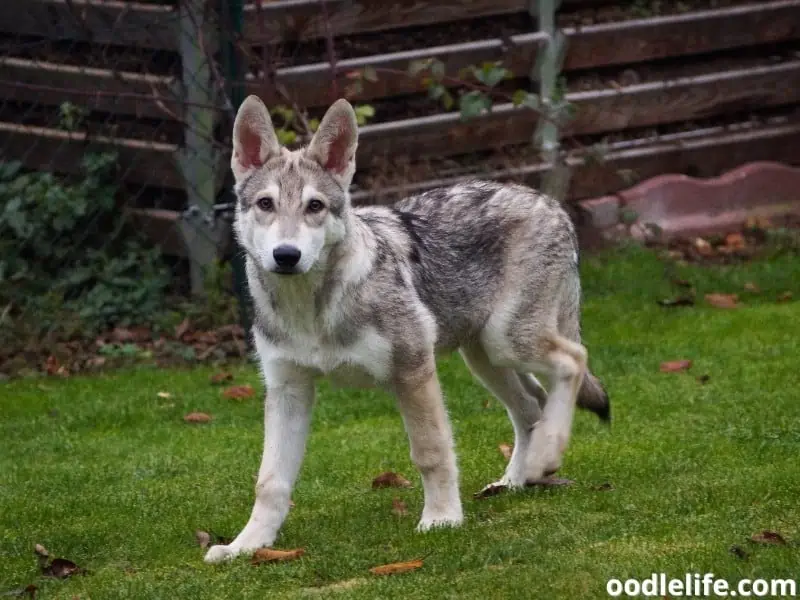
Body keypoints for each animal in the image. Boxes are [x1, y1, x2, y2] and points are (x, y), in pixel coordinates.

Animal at [203, 95, 608, 564]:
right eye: (266, 204)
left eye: (314, 206)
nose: (286, 255)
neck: (312, 310)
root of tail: (549, 202)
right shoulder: (288, 390)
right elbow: (269, 481)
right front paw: (246, 545)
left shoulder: (412, 370)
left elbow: (431, 452)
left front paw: (442, 519)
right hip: (486, 357)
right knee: (532, 406)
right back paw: (517, 479)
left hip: (508, 342)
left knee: (573, 361)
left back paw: (545, 457)